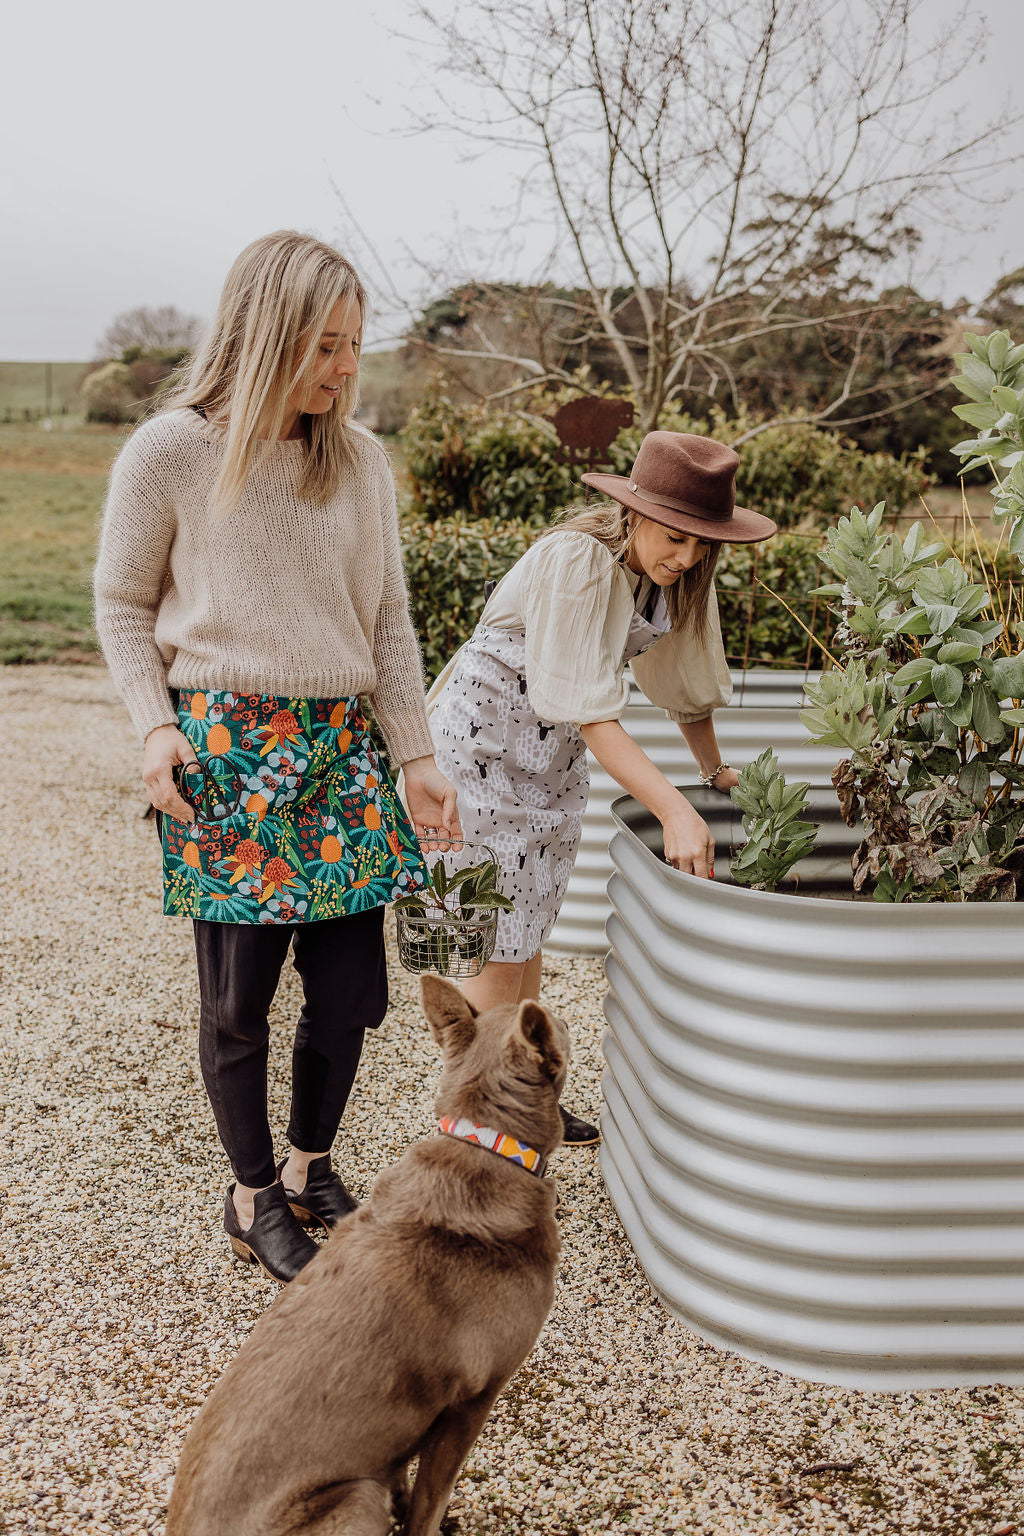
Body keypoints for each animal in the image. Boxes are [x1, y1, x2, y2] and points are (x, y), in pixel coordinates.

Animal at [167, 976, 568, 1536]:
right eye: (561, 1025)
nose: (560, 1014)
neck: (487, 1145)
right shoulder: (472, 1401)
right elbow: (431, 1499)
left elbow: (401, 1475)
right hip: (353, 1498)